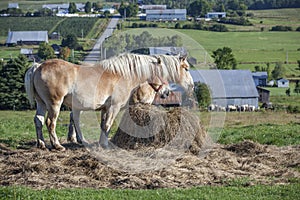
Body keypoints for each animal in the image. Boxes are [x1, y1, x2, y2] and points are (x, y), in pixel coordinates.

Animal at [23, 53, 193, 150]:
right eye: (186, 68)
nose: (167, 93)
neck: (124, 75)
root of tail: (38, 66)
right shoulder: (114, 107)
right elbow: (108, 125)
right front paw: (105, 145)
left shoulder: (105, 108)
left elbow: (103, 125)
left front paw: (100, 143)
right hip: (54, 104)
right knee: (50, 123)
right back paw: (57, 145)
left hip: (42, 104)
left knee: (38, 120)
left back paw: (42, 144)